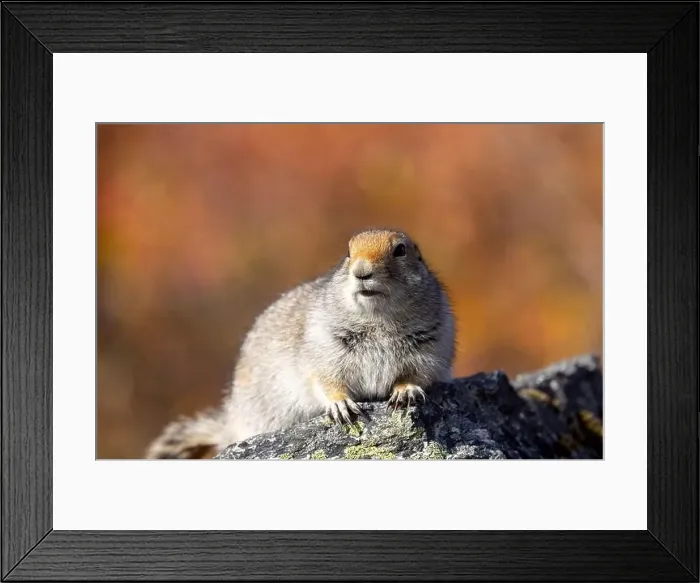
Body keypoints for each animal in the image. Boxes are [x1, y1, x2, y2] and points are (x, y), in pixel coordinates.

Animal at [144, 228, 456, 459]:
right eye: (348, 252)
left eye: (400, 250)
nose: (361, 271)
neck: (377, 319)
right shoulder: (322, 347)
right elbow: (324, 380)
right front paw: (341, 404)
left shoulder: (431, 345)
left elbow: (418, 374)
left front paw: (406, 391)